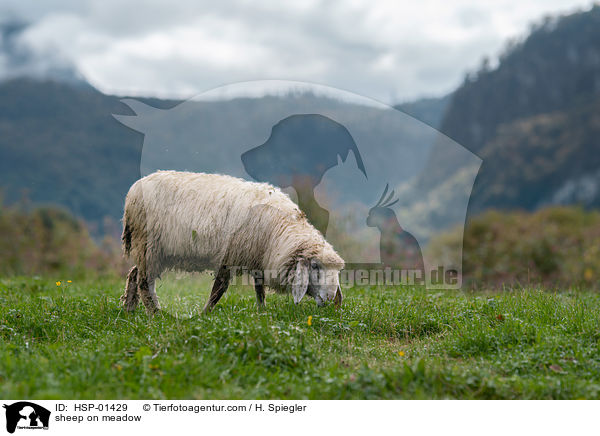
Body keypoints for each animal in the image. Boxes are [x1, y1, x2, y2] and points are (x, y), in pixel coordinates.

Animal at [119, 169, 344, 316]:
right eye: (315, 266)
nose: (330, 298)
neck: (280, 232)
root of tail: (134, 189)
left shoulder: (257, 257)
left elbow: (259, 288)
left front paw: (261, 312)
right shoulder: (230, 256)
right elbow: (219, 289)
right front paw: (205, 314)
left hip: (152, 250)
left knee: (134, 273)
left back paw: (129, 310)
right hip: (148, 244)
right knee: (144, 282)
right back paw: (155, 314)